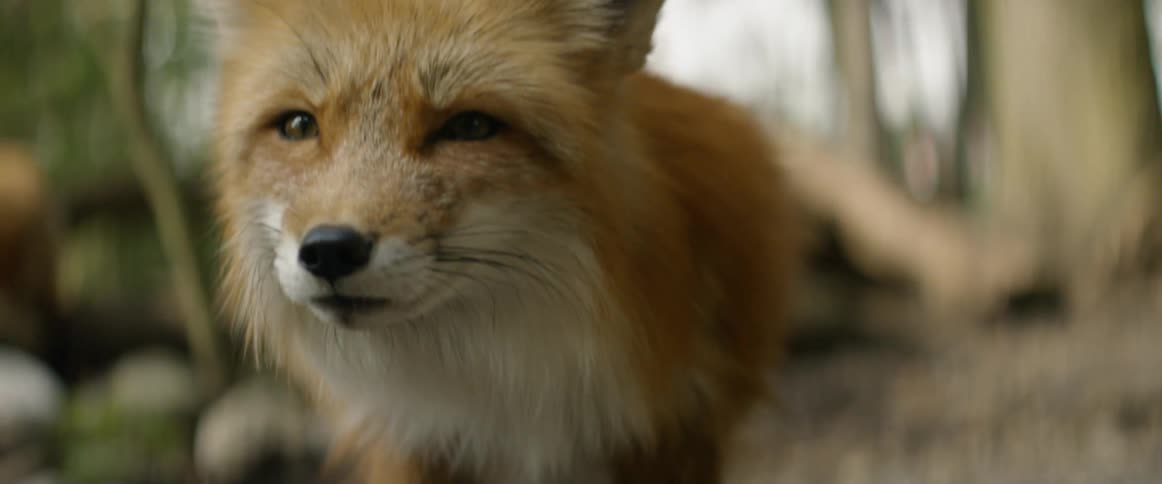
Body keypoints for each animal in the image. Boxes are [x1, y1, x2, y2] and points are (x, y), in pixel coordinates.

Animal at [200, 0, 800, 482]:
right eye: (299, 126)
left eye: (469, 127)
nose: (329, 250)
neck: (503, 391)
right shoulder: (417, 443)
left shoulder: (670, 431)